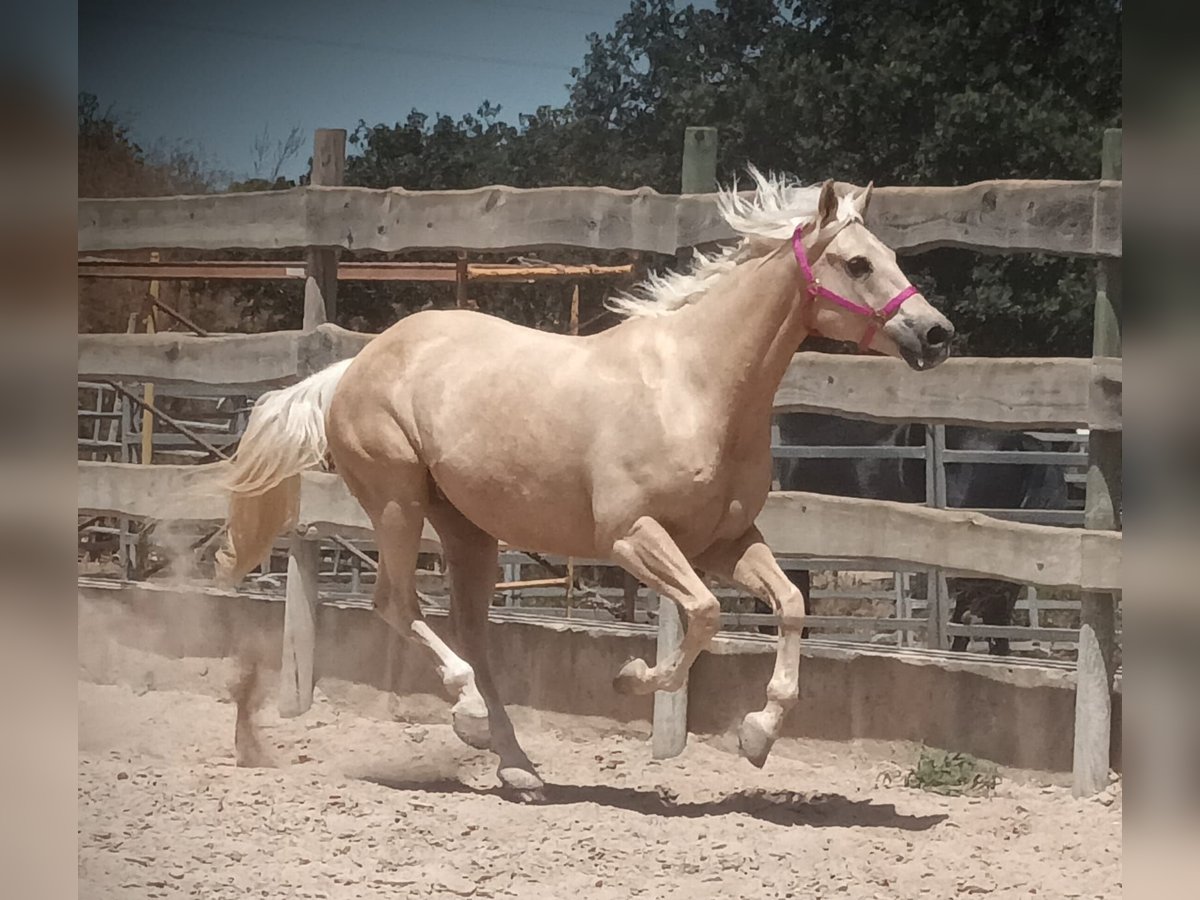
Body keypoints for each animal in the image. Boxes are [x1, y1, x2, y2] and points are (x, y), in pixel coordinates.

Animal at [207, 169, 955, 799]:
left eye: (891, 254)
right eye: (857, 263)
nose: (937, 333)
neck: (698, 386)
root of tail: (352, 367)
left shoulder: (727, 541)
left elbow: (791, 606)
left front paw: (758, 735)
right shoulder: (632, 538)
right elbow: (704, 614)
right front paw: (632, 679)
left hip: (467, 527)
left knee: (471, 630)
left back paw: (517, 766)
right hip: (397, 501)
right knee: (398, 605)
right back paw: (470, 718)